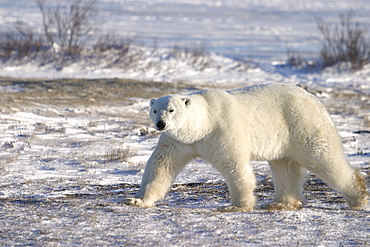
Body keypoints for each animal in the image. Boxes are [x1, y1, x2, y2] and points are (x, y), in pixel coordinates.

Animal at [125, 84, 368, 211]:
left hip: (303, 122)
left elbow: (234, 165)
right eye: (155, 110)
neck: (204, 123)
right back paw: (281, 202)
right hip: (284, 135)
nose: (160, 124)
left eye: (171, 110)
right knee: (285, 165)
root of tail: (312, 98)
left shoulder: (223, 129)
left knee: (323, 156)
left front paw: (238, 205)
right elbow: (161, 166)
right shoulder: (179, 141)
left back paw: (358, 196)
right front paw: (137, 200)